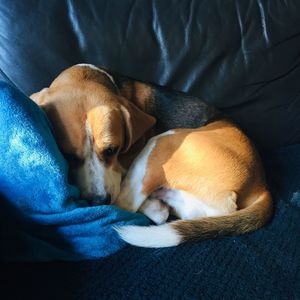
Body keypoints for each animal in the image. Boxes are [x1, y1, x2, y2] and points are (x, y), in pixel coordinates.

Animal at [31, 63, 274, 246]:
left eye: (112, 150)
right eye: (69, 156)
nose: (99, 200)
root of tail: (262, 184)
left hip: (161, 143)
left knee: (127, 203)